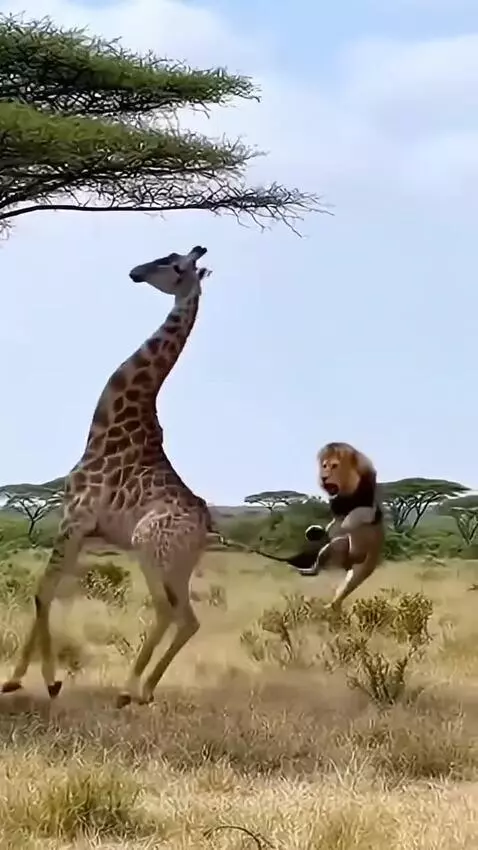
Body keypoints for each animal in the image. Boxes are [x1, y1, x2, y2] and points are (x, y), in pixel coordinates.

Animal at [2, 245, 213, 708]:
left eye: (175, 266)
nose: (136, 271)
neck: (109, 423)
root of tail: (205, 528)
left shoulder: (74, 517)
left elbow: (41, 591)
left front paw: (40, 680)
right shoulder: (82, 529)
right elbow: (47, 591)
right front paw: (21, 679)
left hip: (149, 548)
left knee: (167, 610)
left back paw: (127, 689)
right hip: (178, 565)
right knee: (188, 618)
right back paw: (146, 690)